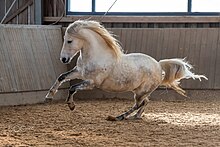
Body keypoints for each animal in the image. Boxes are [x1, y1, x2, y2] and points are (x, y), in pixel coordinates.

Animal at [45, 19, 208, 120]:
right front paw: (48, 97)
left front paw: (71, 105)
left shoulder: (91, 83)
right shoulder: (79, 72)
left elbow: (72, 88)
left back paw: (119, 117)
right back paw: (135, 116)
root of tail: (158, 66)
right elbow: (61, 77)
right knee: (145, 102)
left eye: (69, 41)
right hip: (140, 91)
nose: (63, 59)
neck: (97, 55)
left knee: (139, 104)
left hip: (141, 91)